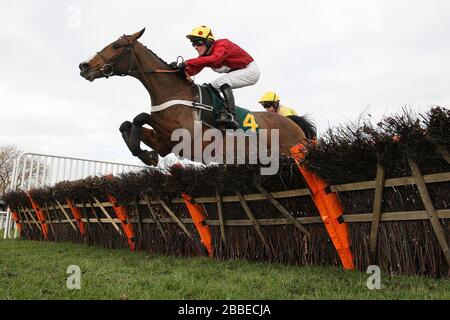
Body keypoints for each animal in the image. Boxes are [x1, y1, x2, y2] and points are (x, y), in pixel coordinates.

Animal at [79, 28, 314, 168]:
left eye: (116, 46)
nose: (84, 66)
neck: (174, 93)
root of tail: (294, 124)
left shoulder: (187, 136)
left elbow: (140, 116)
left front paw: (142, 152)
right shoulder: (164, 143)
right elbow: (126, 124)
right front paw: (146, 154)